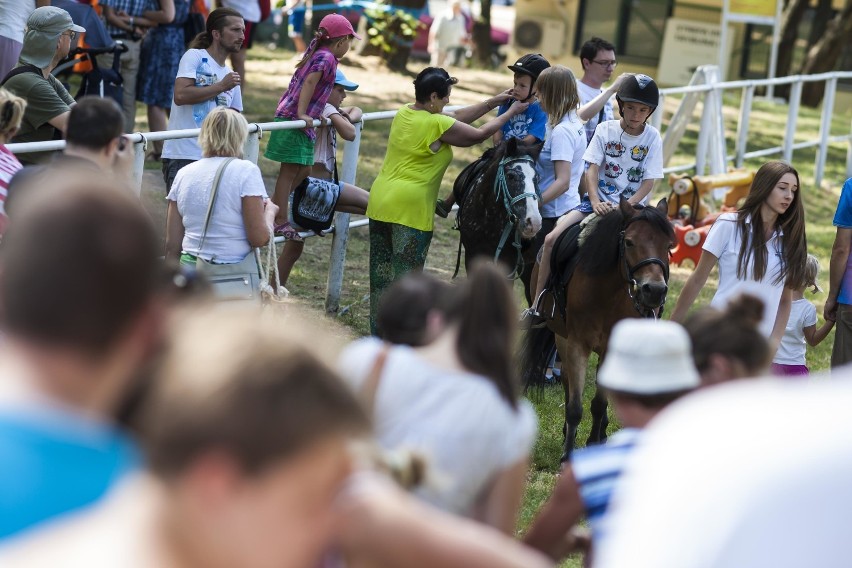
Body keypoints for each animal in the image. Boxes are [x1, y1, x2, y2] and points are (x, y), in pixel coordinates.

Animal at [524, 197, 676, 464]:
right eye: (629, 242)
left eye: (668, 246)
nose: (655, 291)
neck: (609, 293)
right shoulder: (576, 344)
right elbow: (575, 406)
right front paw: (567, 456)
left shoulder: (610, 348)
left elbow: (599, 404)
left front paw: (594, 442)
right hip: (561, 336)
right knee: (567, 382)